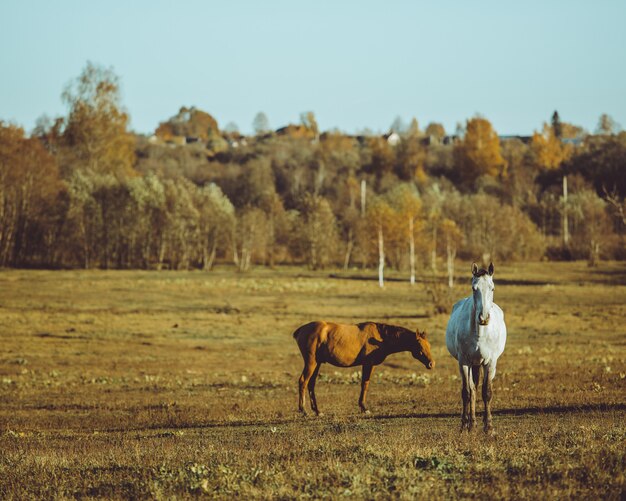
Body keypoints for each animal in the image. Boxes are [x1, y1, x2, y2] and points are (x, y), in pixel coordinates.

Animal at [292, 320, 434, 414]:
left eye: (429, 345)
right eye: (419, 346)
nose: (431, 363)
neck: (380, 337)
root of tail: (301, 330)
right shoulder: (368, 364)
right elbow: (364, 384)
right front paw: (364, 407)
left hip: (318, 363)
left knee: (311, 384)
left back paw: (317, 410)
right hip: (311, 362)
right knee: (303, 381)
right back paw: (303, 410)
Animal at [446, 262, 504, 430]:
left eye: (492, 288)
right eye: (474, 288)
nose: (483, 318)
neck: (480, 334)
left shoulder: (490, 363)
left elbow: (487, 392)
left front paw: (489, 426)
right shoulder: (464, 362)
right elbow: (466, 392)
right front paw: (465, 425)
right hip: (473, 364)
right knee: (472, 389)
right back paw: (471, 423)